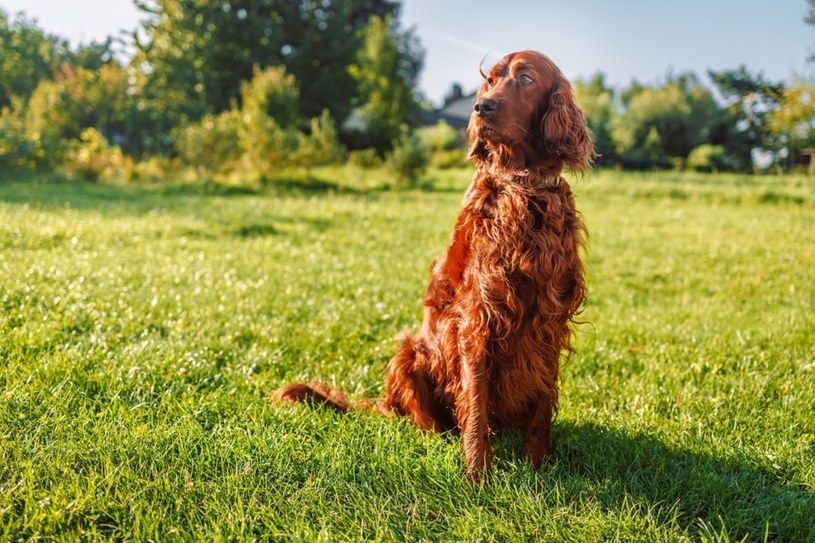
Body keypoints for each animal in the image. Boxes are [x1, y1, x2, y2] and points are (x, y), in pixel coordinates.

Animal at [278, 51, 596, 480]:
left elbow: (542, 403)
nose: (482, 107)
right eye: (491, 80)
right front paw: (477, 476)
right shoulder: (479, 318)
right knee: (428, 423)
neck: (522, 189)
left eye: (526, 78)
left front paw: (538, 464)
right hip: (408, 355)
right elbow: (475, 407)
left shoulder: (549, 319)